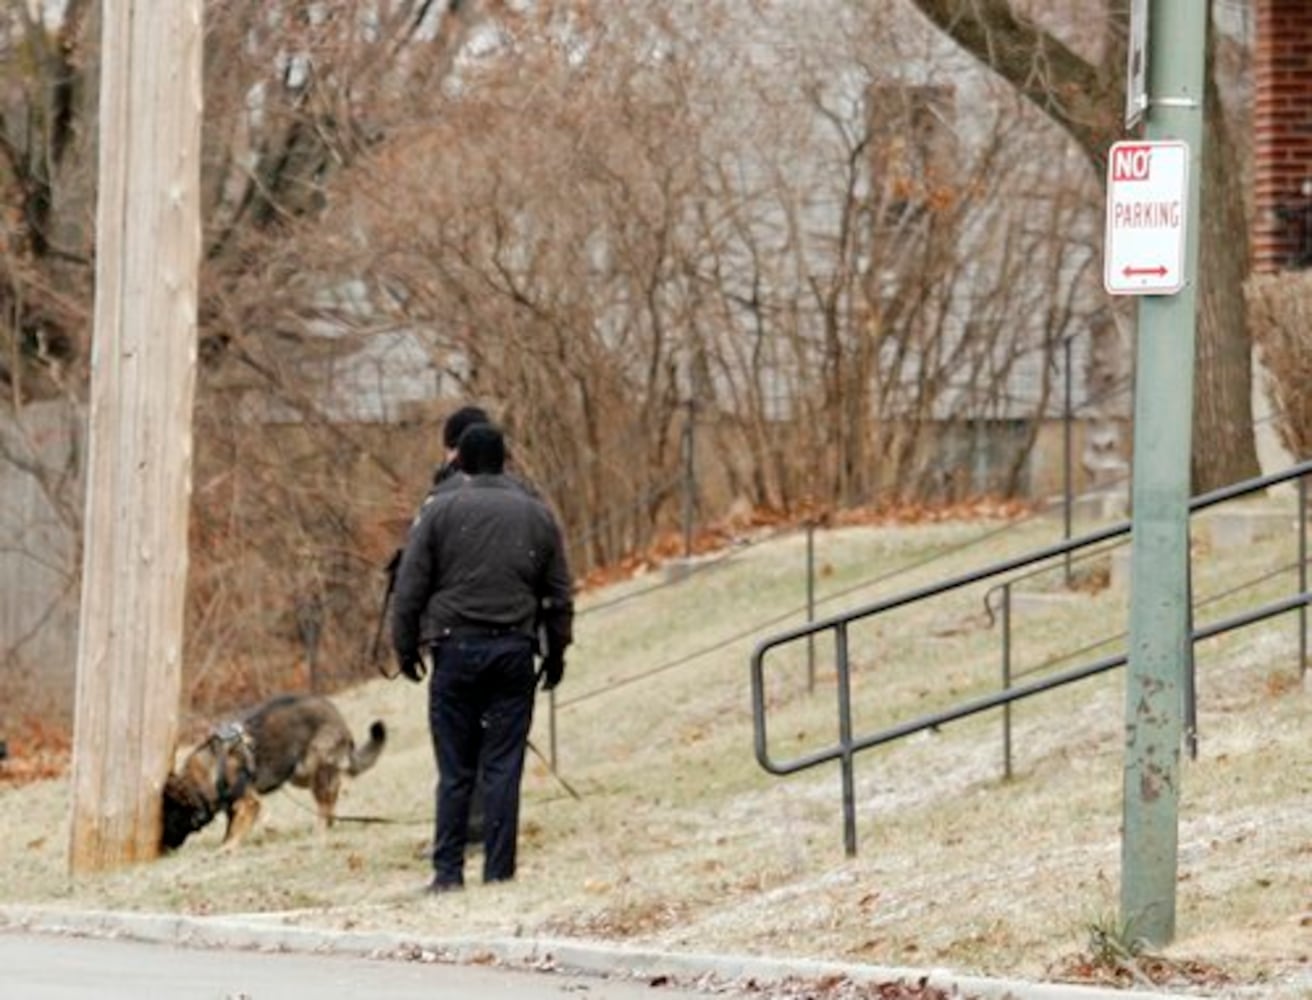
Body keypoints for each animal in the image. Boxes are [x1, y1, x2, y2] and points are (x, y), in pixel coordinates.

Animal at [160, 692, 383, 850]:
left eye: (169, 819)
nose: (163, 851)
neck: (208, 775)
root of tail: (338, 716)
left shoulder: (249, 802)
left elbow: (237, 827)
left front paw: (228, 848)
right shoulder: (236, 804)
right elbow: (231, 826)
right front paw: (227, 843)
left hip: (315, 768)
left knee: (325, 801)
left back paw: (320, 829)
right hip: (301, 774)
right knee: (333, 788)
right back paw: (330, 821)